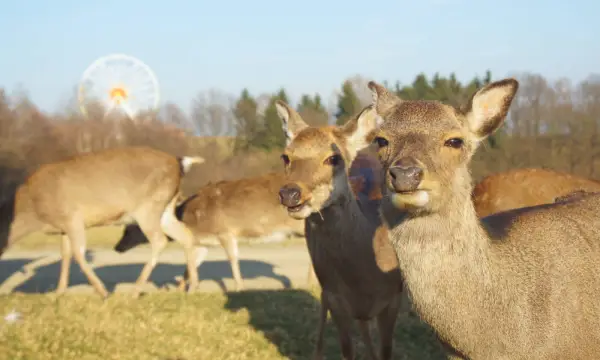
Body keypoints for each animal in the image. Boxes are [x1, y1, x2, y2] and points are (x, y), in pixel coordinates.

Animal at [0, 145, 204, 300]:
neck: (33, 211)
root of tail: (178, 163)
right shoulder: (63, 227)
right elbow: (65, 255)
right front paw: (59, 292)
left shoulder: (72, 218)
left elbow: (78, 253)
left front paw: (102, 291)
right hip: (165, 208)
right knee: (185, 235)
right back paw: (192, 287)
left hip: (148, 207)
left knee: (160, 240)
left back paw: (135, 291)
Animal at [276, 99, 404, 360]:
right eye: (286, 157)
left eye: (334, 158)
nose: (290, 193)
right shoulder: (336, 299)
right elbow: (347, 350)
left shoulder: (394, 297)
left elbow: (385, 351)